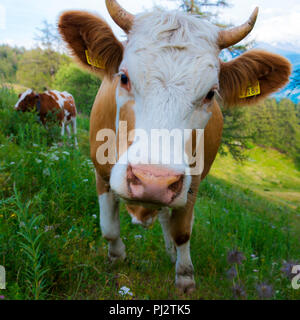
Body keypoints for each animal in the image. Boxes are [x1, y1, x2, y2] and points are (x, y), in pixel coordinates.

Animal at [58, 0, 290, 294]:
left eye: (211, 94)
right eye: (123, 77)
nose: (153, 180)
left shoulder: (192, 182)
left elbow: (182, 231)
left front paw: (185, 275)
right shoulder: (101, 171)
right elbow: (109, 226)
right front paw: (116, 257)